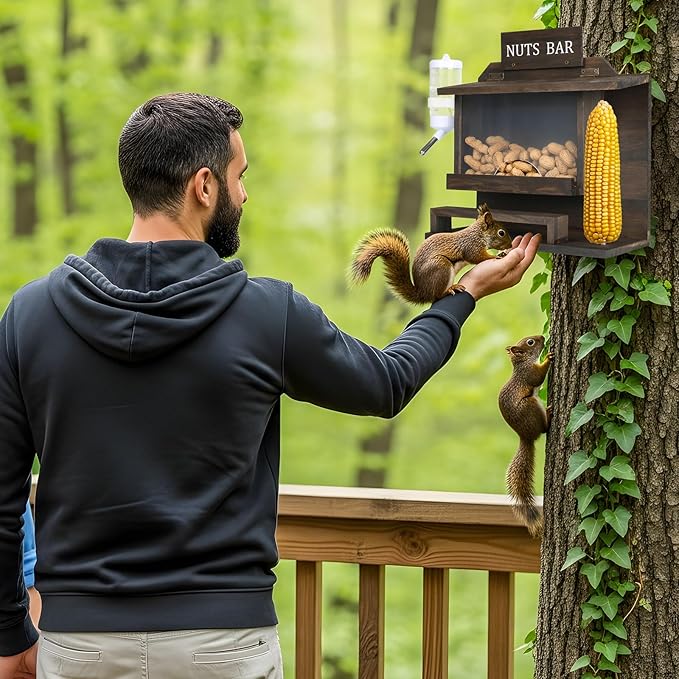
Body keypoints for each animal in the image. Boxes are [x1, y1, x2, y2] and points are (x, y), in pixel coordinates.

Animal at [349, 203, 512, 305]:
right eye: (501, 232)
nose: (510, 245)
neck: (478, 234)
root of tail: (423, 293)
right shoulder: (471, 246)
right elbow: (477, 257)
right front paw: (495, 256)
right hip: (441, 267)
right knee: (437, 296)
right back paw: (450, 289)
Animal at [498, 335, 552, 538]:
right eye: (530, 342)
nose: (542, 337)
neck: (522, 362)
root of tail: (525, 436)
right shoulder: (528, 373)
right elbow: (538, 376)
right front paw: (549, 357)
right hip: (530, 406)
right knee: (544, 429)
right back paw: (549, 416)